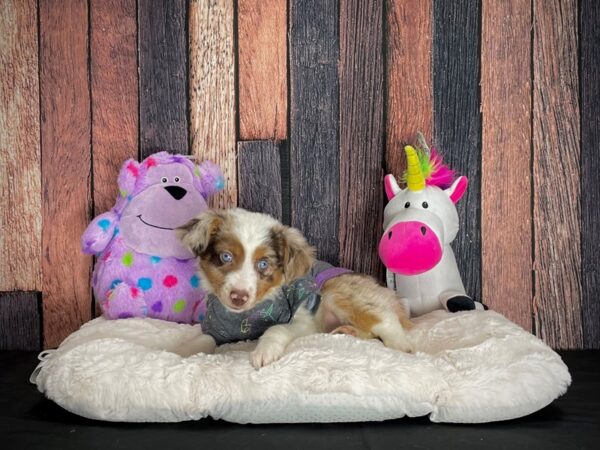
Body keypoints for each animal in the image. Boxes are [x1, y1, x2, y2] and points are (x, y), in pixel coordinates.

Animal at [177, 209, 412, 368]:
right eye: (226, 257)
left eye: (263, 264)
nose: (238, 297)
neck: (246, 315)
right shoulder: (215, 328)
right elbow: (202, 340)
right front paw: (179, 352)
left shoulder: (305, 320)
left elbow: (275, 328)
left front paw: (264, 351)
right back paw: (348, 331)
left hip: (336, 291)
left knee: (385, 318)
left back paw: (402, 345)